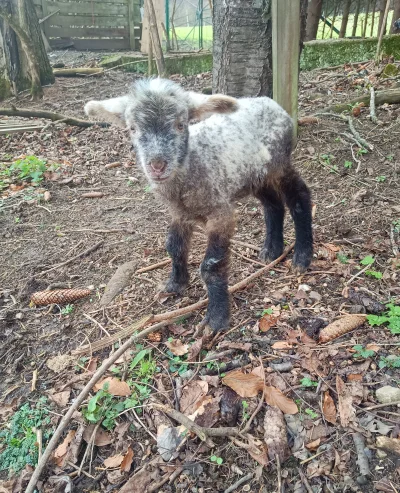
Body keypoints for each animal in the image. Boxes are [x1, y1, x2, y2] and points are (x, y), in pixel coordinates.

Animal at [86, 79, 314, 332]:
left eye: (180, 125)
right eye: (132, 128)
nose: (157, 165)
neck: (192, 162)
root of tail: (271, 103)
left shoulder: (221, 214)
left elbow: (211, 267)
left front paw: (215, 320)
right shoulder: (179, 213)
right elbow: (174, 247)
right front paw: (174, 285)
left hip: (279, 164)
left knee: (299, 197)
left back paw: (302, 256)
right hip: (255, 175)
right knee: (273, 204)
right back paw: (271, 250)